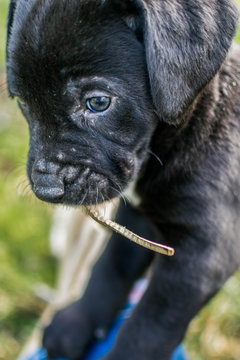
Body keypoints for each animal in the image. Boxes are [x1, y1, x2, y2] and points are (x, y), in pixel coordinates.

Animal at [6, 0, 240, 360]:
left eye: (98, 102)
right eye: (22, 102)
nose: (46, 189)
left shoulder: (203, 255)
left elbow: (149, 326)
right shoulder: (139, 218)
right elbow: (111, 265)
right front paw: (76, 322)